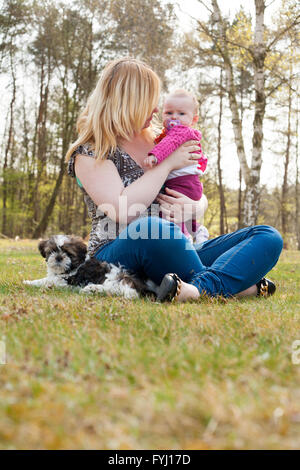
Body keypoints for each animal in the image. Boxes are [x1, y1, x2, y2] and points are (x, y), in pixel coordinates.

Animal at [23, 237, 157, 300]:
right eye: (51, 251)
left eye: (68, 254)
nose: (59, 257)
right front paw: (29, 282)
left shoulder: (65, 281)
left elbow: (48, 281)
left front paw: (32, 283)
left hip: (111, 277)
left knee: (116, 290)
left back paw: (92, 289)